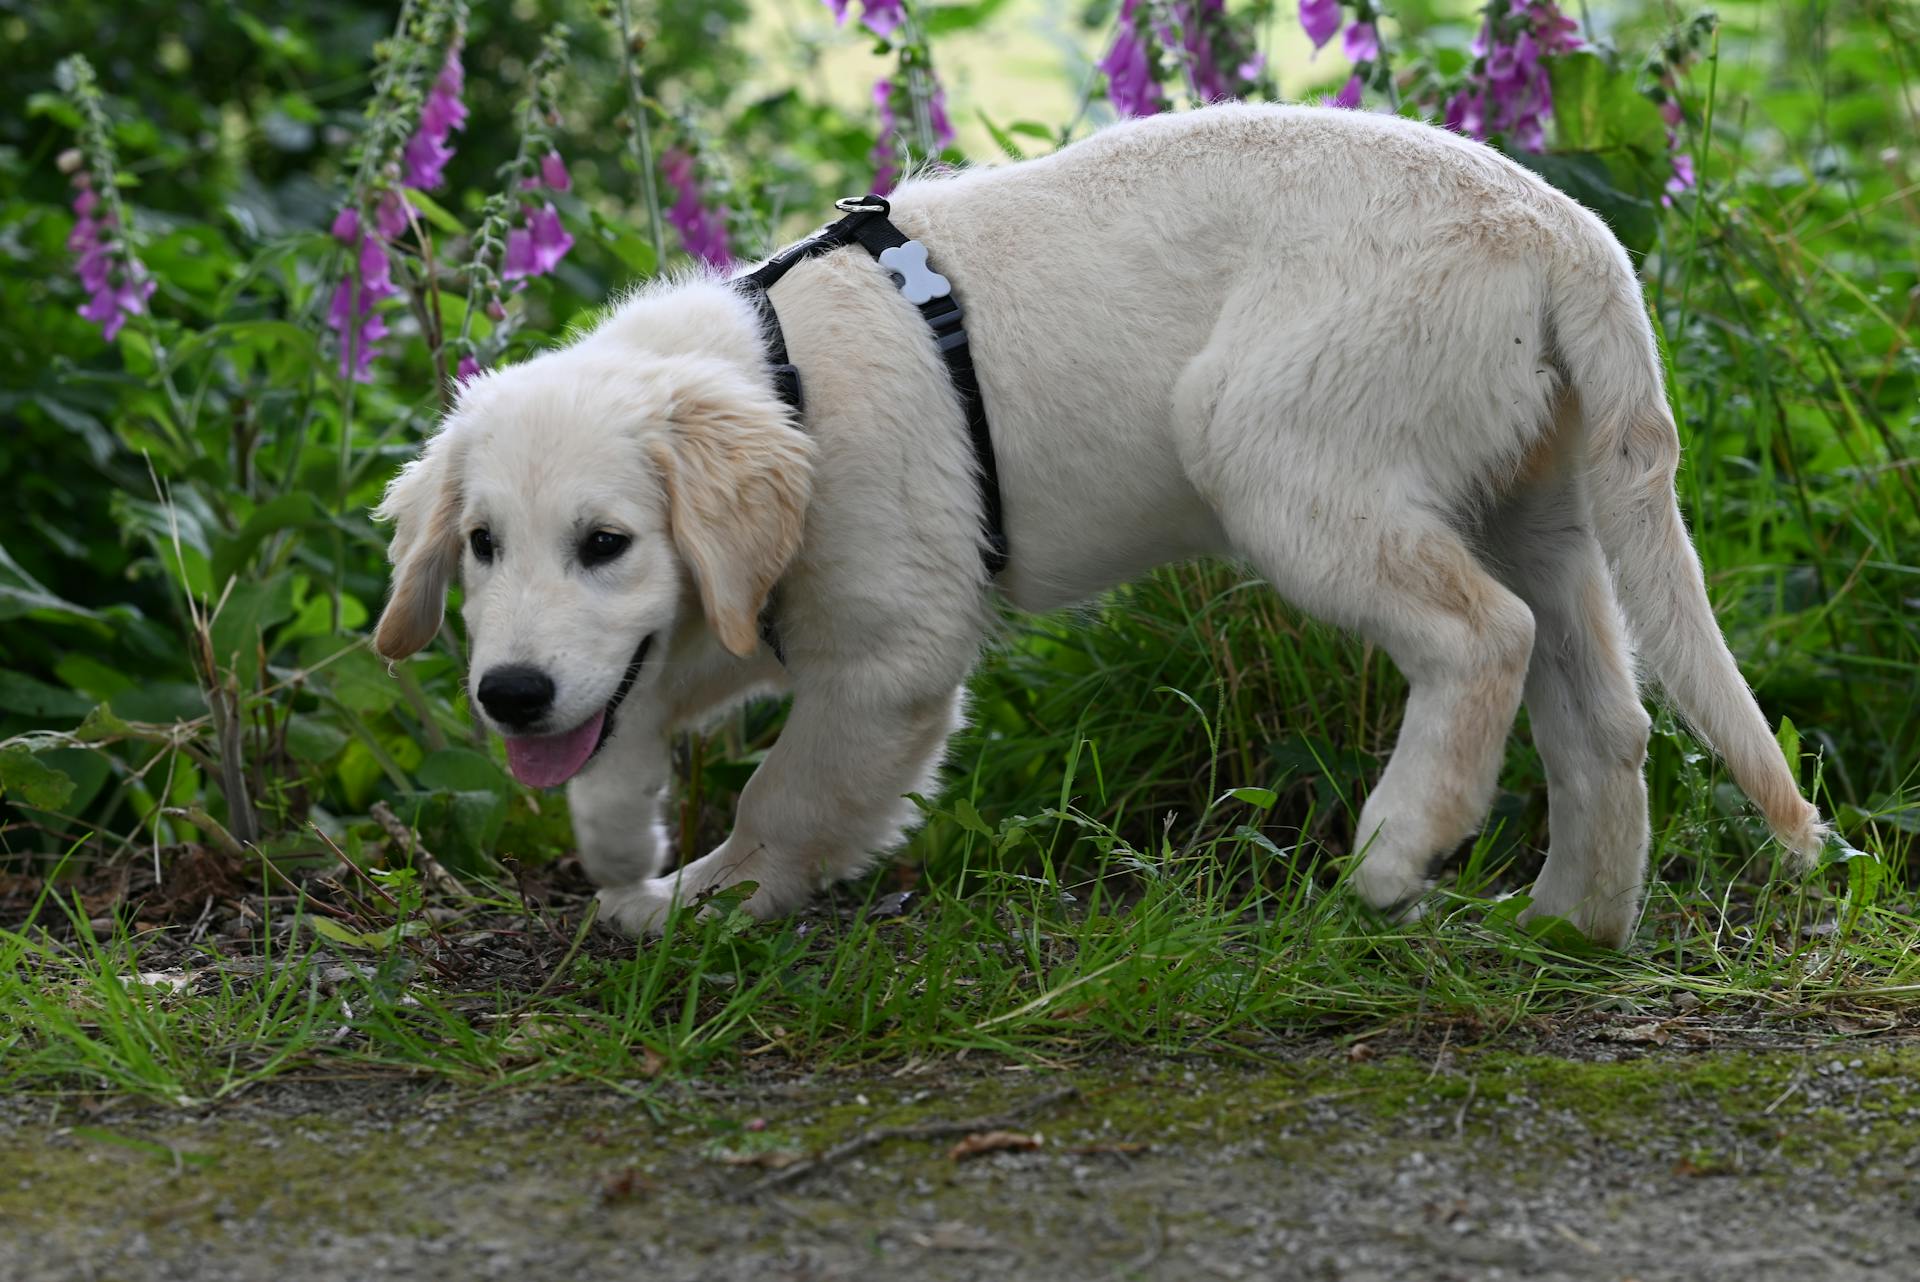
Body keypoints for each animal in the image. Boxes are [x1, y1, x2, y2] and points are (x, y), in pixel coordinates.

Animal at [374, 105, 1827, 948]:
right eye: (482, 546)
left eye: (607, 542)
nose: (507, 694)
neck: (784, 382)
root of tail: (1566, 228)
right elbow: (619, 736)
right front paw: (628, 860)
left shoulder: (893, 655)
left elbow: (793, 796)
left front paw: (714, 901)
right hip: (1539, 498)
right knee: (1607, 715)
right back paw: (1571, 924)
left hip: (1273, 447)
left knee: (1486, 635)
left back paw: (1401, 845)